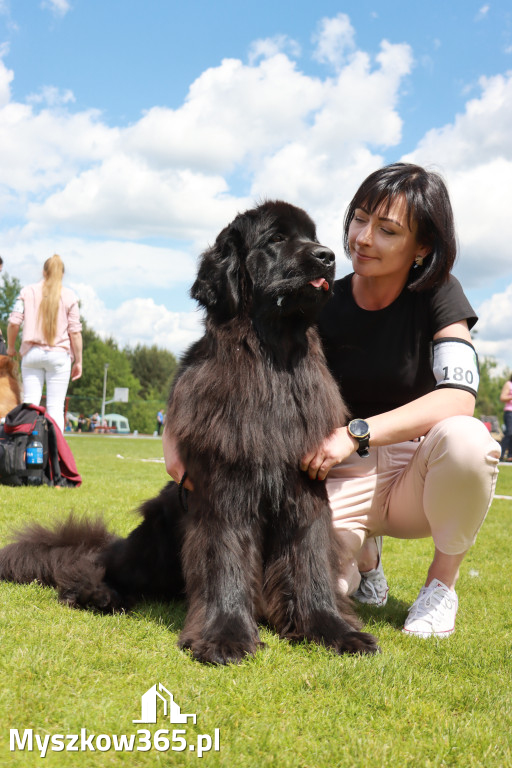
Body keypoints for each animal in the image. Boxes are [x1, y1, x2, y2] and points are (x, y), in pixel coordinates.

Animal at [0, 201, 376, 664]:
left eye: (314, 237)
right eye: (275, 239)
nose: (328, 256)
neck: (271, 361)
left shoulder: (305, 490)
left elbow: (311, 566)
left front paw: (334, 631)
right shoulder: (225, 492)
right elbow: (225, 563)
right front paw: (225, 636)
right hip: (154, 536)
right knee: (98, 564)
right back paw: (98, 593)